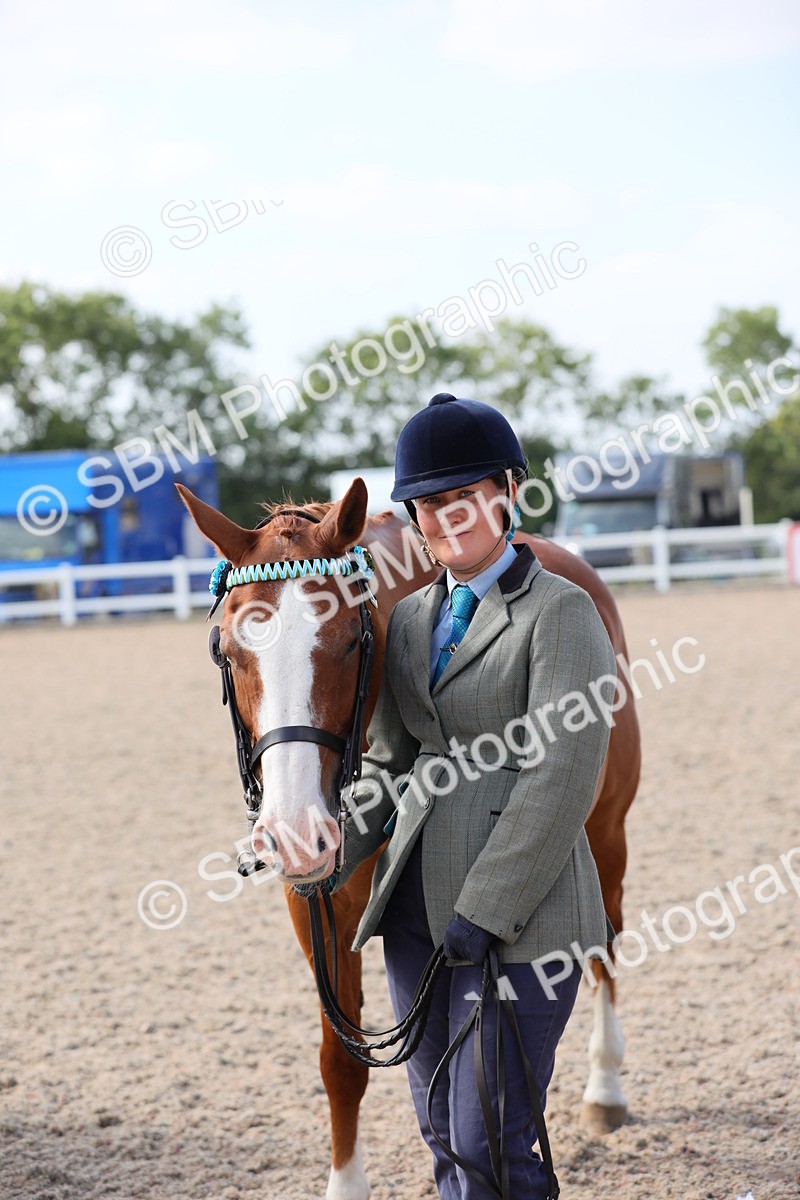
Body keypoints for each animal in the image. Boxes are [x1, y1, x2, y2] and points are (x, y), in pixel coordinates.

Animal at [177, 477, 640, 1200]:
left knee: (602, 946)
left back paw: (606, 1089)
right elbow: (341, 1063)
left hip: (604, 831)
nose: (294, 834)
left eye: (348, 641)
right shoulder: (317, 910)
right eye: (226, 649)